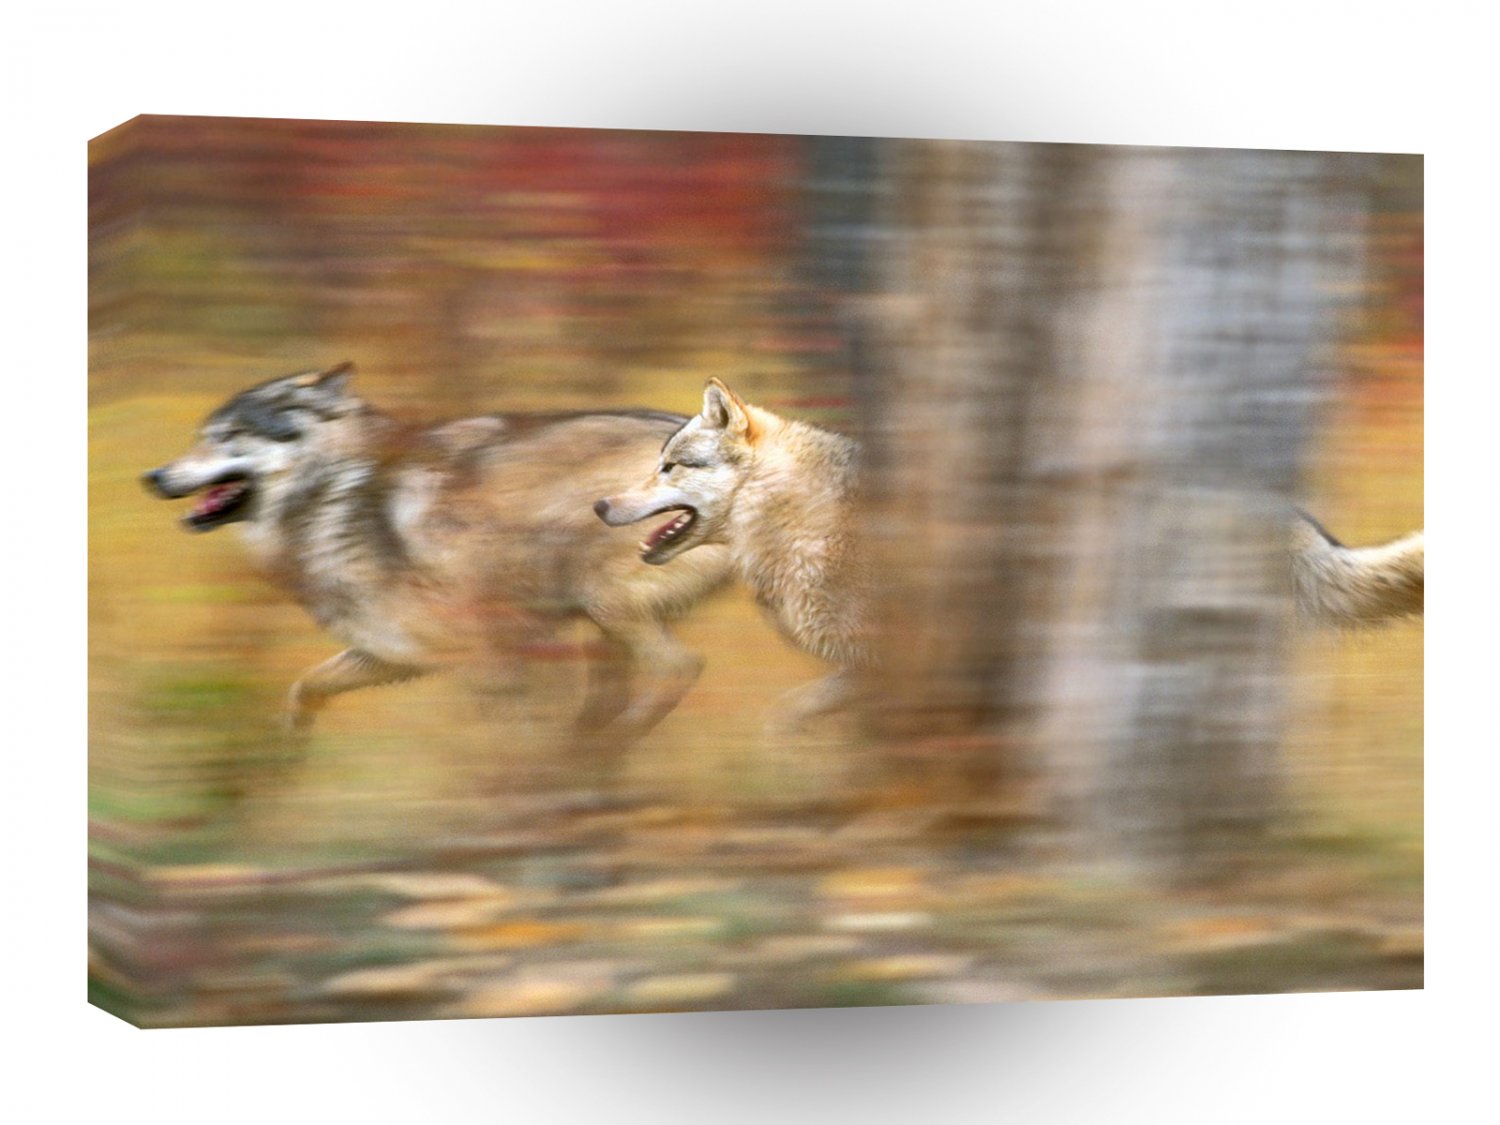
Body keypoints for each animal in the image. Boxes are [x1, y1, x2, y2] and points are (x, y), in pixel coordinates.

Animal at [143, 362, 731, 738]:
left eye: (228, 437)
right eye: (204, 434)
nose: (153, 476)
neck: (330, 491)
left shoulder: (489, 655)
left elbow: (509, 738)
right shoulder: (390, 652)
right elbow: (305, 685)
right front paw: (293, 741)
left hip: (602, 601)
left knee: (681, 666)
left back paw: (608, 742)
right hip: (598, 623)